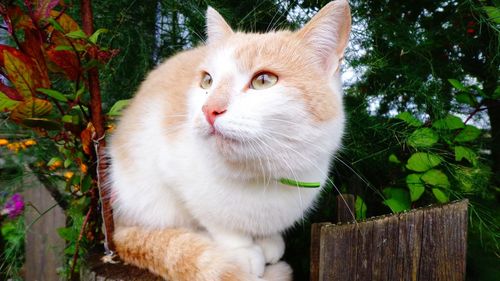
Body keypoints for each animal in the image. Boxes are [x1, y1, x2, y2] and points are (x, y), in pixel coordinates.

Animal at [109, 1, 352, 278]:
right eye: (207, 80)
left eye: (263, 80)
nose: (209, 109)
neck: (258, 174)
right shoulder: (172, 173)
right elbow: (218, 223)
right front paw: (241, 251)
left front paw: (269, 240)